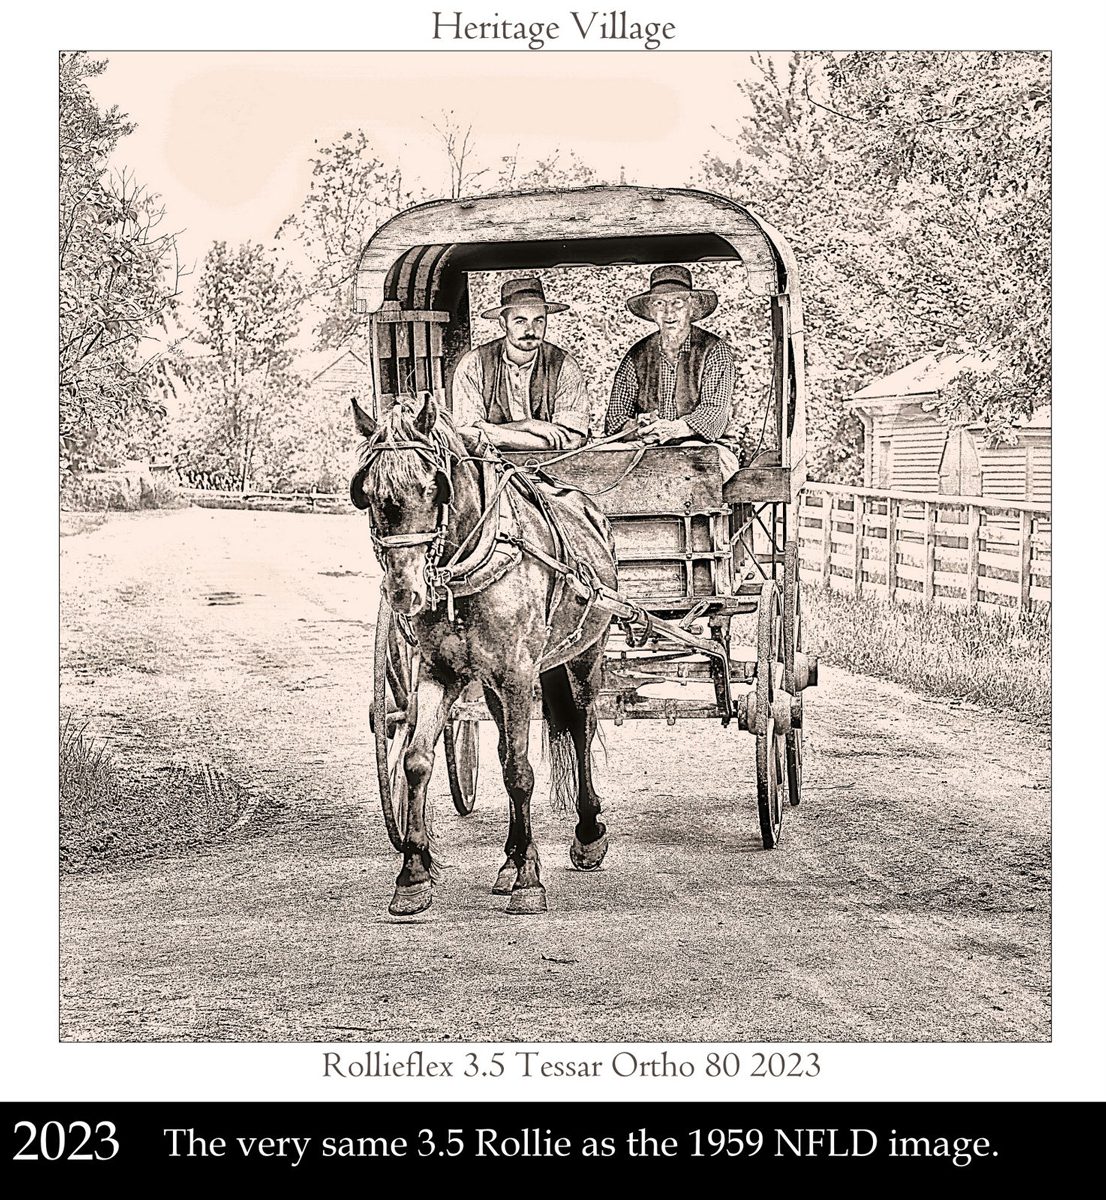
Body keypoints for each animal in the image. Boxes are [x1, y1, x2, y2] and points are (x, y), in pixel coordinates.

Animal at [350, 393, 614, 916]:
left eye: (434, 487)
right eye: (366, 492)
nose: (405, 593)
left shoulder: (518, 674)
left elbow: (520, 772)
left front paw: (530, 883)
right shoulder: (440, 673)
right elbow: (416, 760)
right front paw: (413, 875)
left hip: (583, 654)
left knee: (581, 725)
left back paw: (586, 833)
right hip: (496, 684)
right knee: (503, 744)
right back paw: (511, 857)